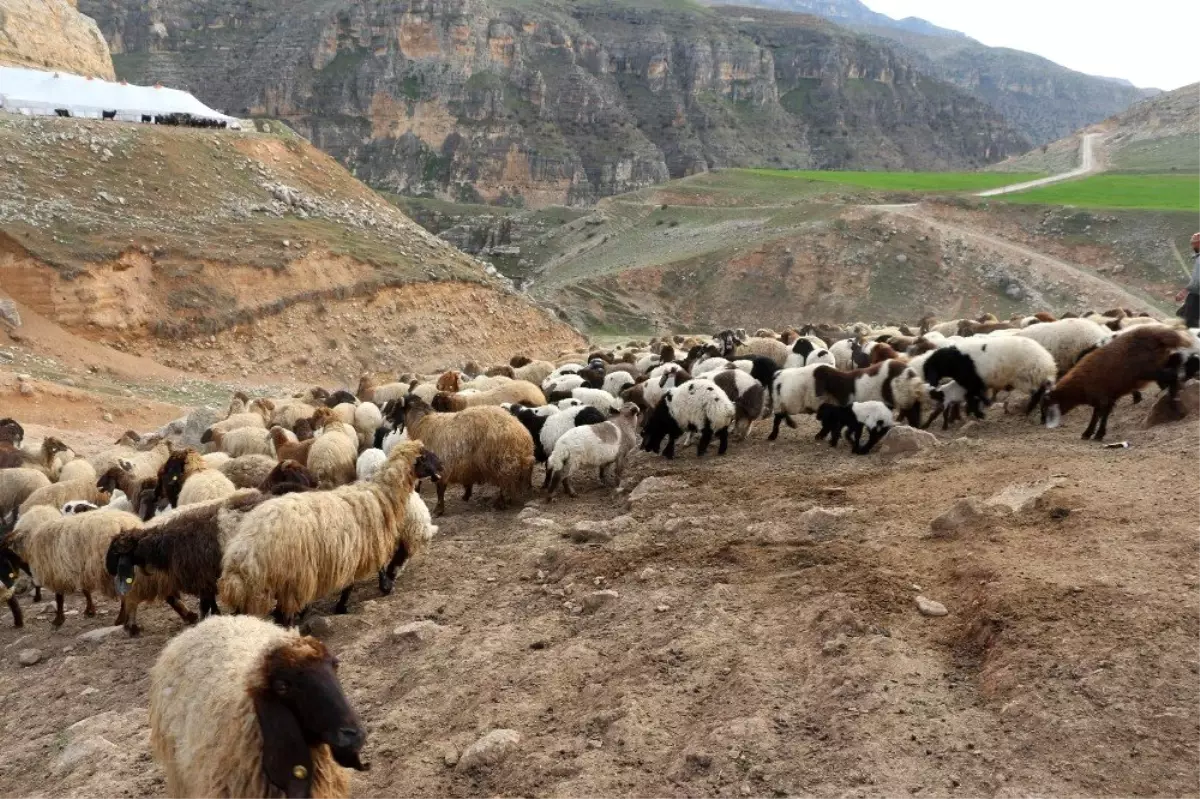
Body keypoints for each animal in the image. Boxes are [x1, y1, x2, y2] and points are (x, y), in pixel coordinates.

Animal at [218, 439, 444, 619]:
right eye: (426, 456)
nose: (442, 464)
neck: (380, 494)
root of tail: (243, 554)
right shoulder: (367, 543)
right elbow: (361, 578)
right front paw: (369, 594)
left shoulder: (357, 549)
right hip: (292, 578)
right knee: (284, 615)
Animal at [393, 393, 535, 515]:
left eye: (396, 407)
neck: (423, 423)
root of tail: (522, 434)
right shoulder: (465, 464)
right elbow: (466, 481)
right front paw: (466, 495)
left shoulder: (441, 465)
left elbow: (440, 489)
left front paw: (439, 510)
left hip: (501, 461)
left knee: (506, 481)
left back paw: (501, 502)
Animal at [1041, 321, 1190, 441]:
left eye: (1046, 406)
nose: (1043, 422)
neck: (1079, 386)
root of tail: (1159, 335)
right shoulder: (1107, 397)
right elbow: (1099, 415)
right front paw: (1091, 433)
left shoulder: (1102, 397)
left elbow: (1100, 415)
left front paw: (1096, 434)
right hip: (1161, 364)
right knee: (1174, 371)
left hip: (1150, 370)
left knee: (1173, 375)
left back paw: (1174, 404)